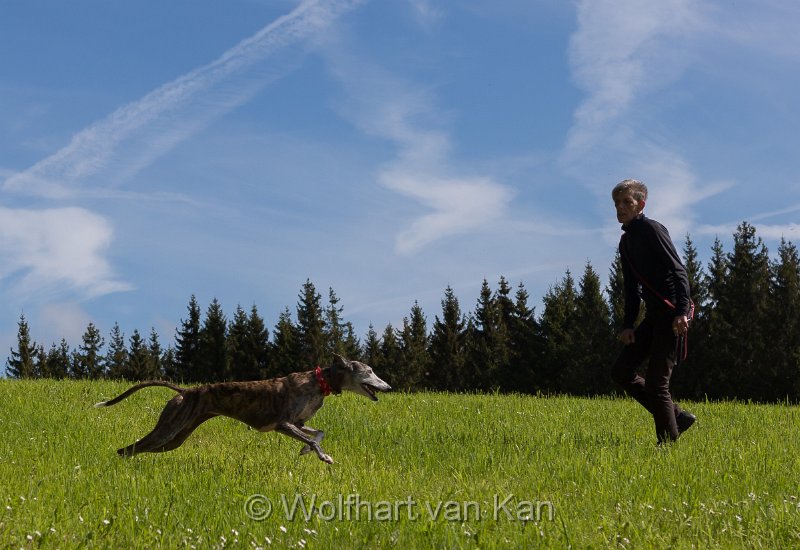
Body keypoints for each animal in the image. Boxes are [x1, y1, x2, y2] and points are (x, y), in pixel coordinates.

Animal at [95, 354, 392, 466]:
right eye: (369, 372)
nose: (388, 387)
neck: (319, 380)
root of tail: (185, 392)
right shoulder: (283, 424)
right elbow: (314, 439)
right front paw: (322, 456)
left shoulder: (297, 423)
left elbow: (318, 433)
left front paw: (306, 451)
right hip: (168, 429)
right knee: (128, 449)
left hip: (175, 438)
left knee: (135, 449)